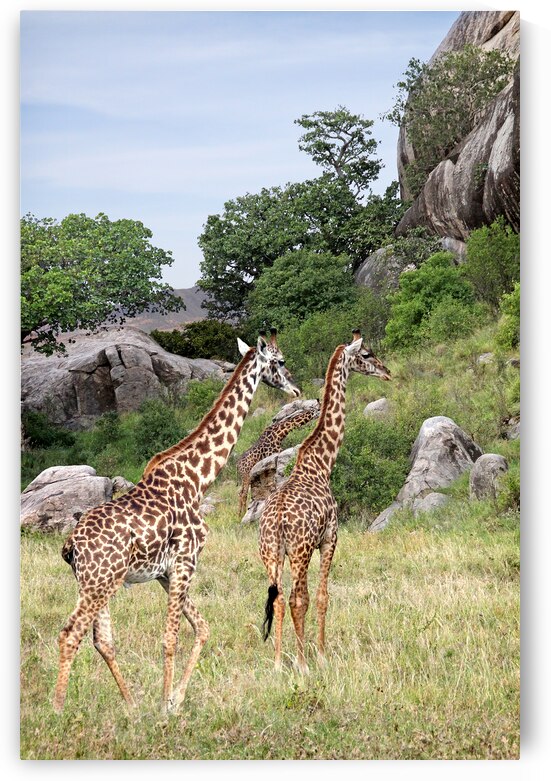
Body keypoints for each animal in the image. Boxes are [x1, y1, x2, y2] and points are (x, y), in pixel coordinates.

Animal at [53, 333, 300, 715]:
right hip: (99, 583)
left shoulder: (165, 573)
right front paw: (165, 708)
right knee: (70, 634)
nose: (296, 389)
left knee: (102, 640)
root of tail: (72, 544)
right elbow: (171, 637)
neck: (198, 478)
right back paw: (59, 711)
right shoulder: (185, 562)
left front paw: (174, 698)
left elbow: (202, 628)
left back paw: (131, 707)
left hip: (97, 583)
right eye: (281, 361)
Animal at [258, 333, 391, 673]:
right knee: (297, 598)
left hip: (270, 554)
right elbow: (322, 597)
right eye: (366, 354)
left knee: (278, 598)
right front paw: (320, 655)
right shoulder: (330, 537)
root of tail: (276, 523)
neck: (321, 463)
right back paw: (303, 662)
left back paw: (277, 663)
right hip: (300, 551)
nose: (386, 372)